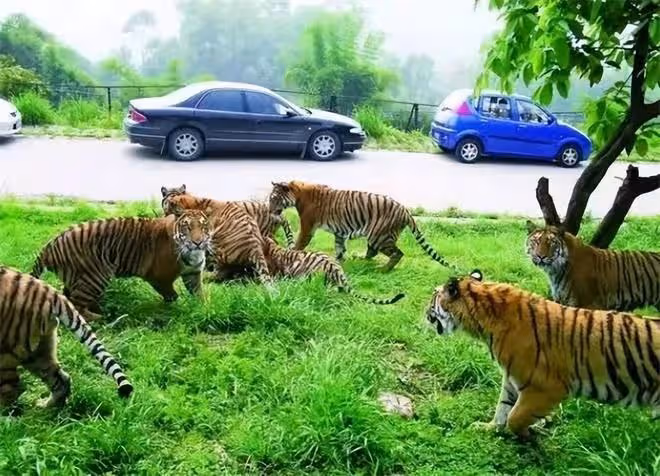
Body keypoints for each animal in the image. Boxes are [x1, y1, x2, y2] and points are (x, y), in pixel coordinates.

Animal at [0, 266, 133, 413]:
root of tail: (49, 291)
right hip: (37, 351)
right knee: (61, 379)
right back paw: (49, 408)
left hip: (7, 352)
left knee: (10, 391)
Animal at [31, 208, 212, 321]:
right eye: (187, 227)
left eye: (203, 226)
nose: (198, 242)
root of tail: (49, 246)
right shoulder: (159, 278)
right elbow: (173, 296)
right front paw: (174, 308)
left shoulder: (193, 273)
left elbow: (199, 294)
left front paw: (203, 308)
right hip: (96, 276)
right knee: (77, 304)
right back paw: (101, 318)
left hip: (77, 278)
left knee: (69, 297)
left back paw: (101, 310)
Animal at [268, 180, 457, 272]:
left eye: (273, 198)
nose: (269, 210)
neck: (297, 194)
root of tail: (406, 210)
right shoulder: (339, 232)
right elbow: (339, 247)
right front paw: (339, 260)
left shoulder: (308, 226)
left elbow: (299, 243)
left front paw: (291, 253)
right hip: (375, 238)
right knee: (372, 252)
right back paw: (360, 260)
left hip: (380, 236)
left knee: (397, 253)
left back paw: (383, 269)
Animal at [425, 270, 660, 441]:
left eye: (432, 298)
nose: (424, 312)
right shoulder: (512, 378)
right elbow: (503, 408)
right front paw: (489, 427)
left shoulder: (545, 387)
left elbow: (515, 417)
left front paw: (529, 434)